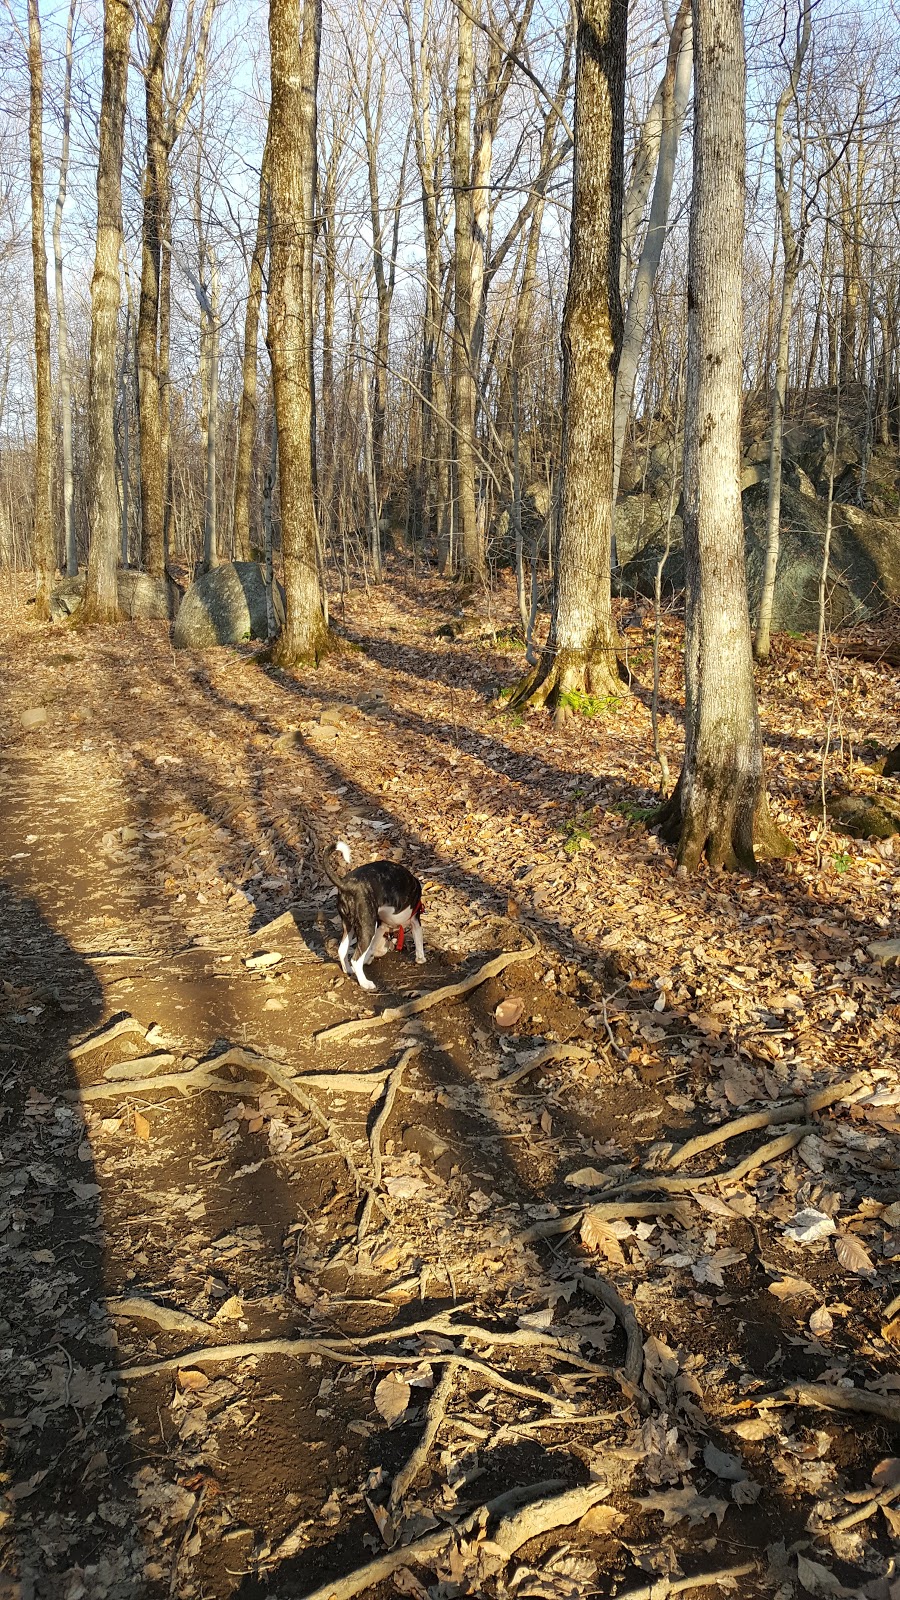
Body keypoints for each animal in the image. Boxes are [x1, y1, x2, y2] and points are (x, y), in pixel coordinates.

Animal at [317, 838, 425, 985]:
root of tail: (347, 885)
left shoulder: (380, 926)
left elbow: (372, 947)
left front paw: (369, 957)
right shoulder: (414, 920)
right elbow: (419, 939)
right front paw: (421, 958)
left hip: (349, 926)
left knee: (342, 950)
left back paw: (348, 970)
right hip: (367, 928)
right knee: (355, 959)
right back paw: (365, 983)